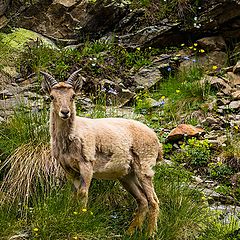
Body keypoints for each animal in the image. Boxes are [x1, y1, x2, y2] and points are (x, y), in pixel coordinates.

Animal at [40, 70, 163, 236]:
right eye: (52, 97)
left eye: (73, 96)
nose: (65, 112)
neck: (72, 136)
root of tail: (156, 140)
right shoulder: (67, 168)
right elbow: (73, 193)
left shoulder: (86, 164)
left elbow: (82, 193)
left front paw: (80, 220)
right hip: (127, 175)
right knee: (142, 200)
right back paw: (129, 232)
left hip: (144, 167)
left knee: (153, 201)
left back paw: (150, 233)